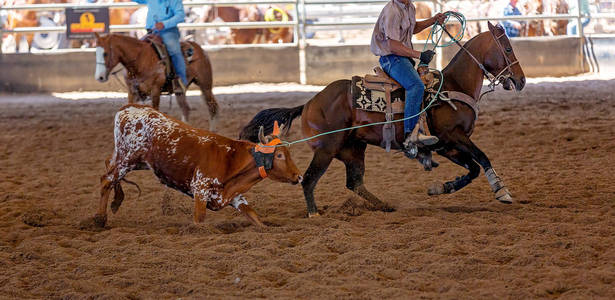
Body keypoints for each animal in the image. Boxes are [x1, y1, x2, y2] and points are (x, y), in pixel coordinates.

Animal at [238, 22, 528, 217]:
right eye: (508, 47)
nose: (521, 81)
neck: (453, 86)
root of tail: (309, 102)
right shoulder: (454, 137)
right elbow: (483, 159)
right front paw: (502, 192)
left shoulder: (446, 145)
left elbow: (473, 168)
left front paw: (440, 188)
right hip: (327, 149)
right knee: (309, 179)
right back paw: (314, 213)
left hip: (353, 149)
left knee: (354, 182)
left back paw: (384, 206)